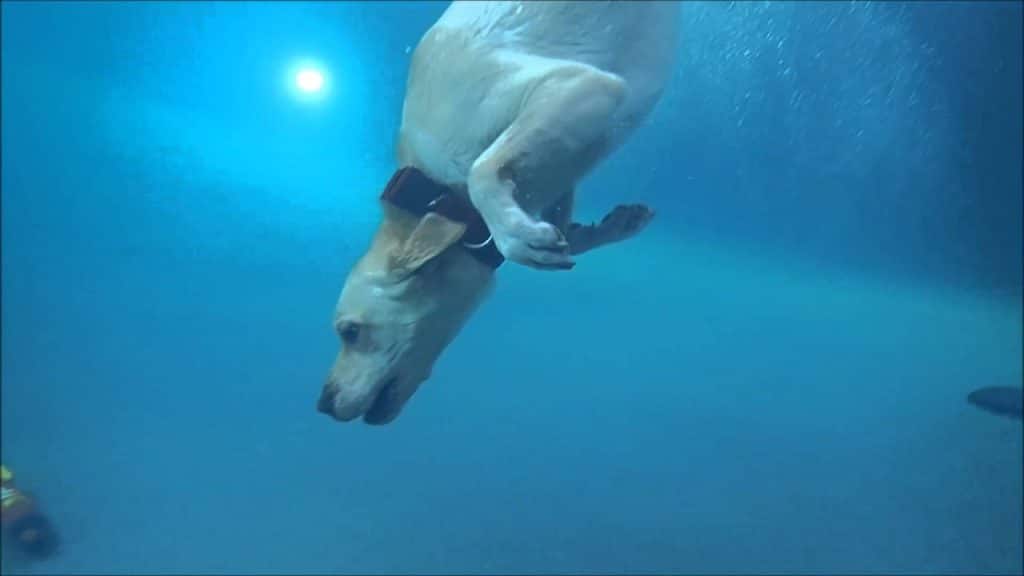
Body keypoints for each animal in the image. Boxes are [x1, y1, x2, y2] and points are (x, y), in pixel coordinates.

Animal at [315, 0, 675, 422]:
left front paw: (516, 236)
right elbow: (564, 224)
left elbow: (481, 170)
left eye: (350, 332)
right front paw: (612, 225)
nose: (322, 404)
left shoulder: (576, 86)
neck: (435, 188)